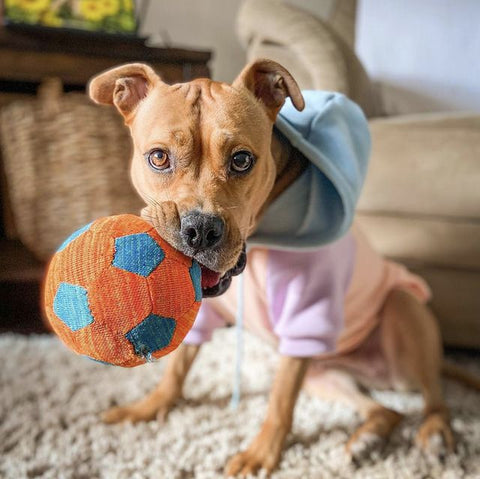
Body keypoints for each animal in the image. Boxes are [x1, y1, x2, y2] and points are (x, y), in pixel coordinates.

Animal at [88, 59, 478, 476]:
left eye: (241, 160)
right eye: (159, 157)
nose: (200, 230)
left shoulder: (304, 320)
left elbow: (279, 400)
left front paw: (261, 455)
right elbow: (177, 368)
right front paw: (148, 408)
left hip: (403, 313)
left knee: (435, 397)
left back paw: (434, 432)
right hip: (324, 378)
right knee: (387, 411)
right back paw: (367, 439)